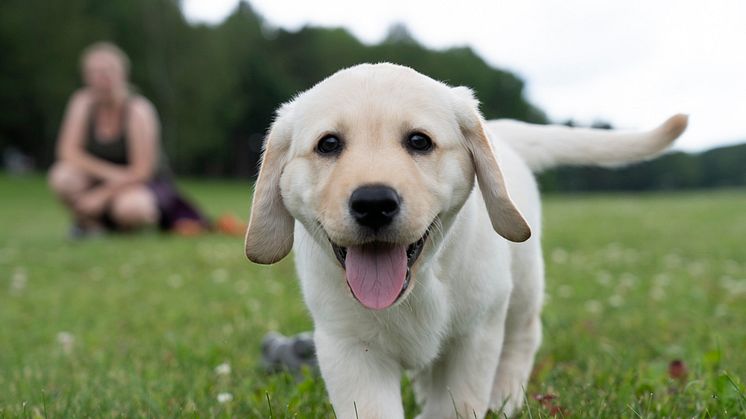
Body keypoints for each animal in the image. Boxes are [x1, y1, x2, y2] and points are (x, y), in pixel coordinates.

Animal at [244, 63, 684, 419]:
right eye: (329, 144)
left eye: (419, 141)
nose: (373, 203)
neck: (419, 285)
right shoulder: (348, 347)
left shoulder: (475, 336)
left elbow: (457, 403)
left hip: (522, 288)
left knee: (522, 339)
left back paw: (505, 398)